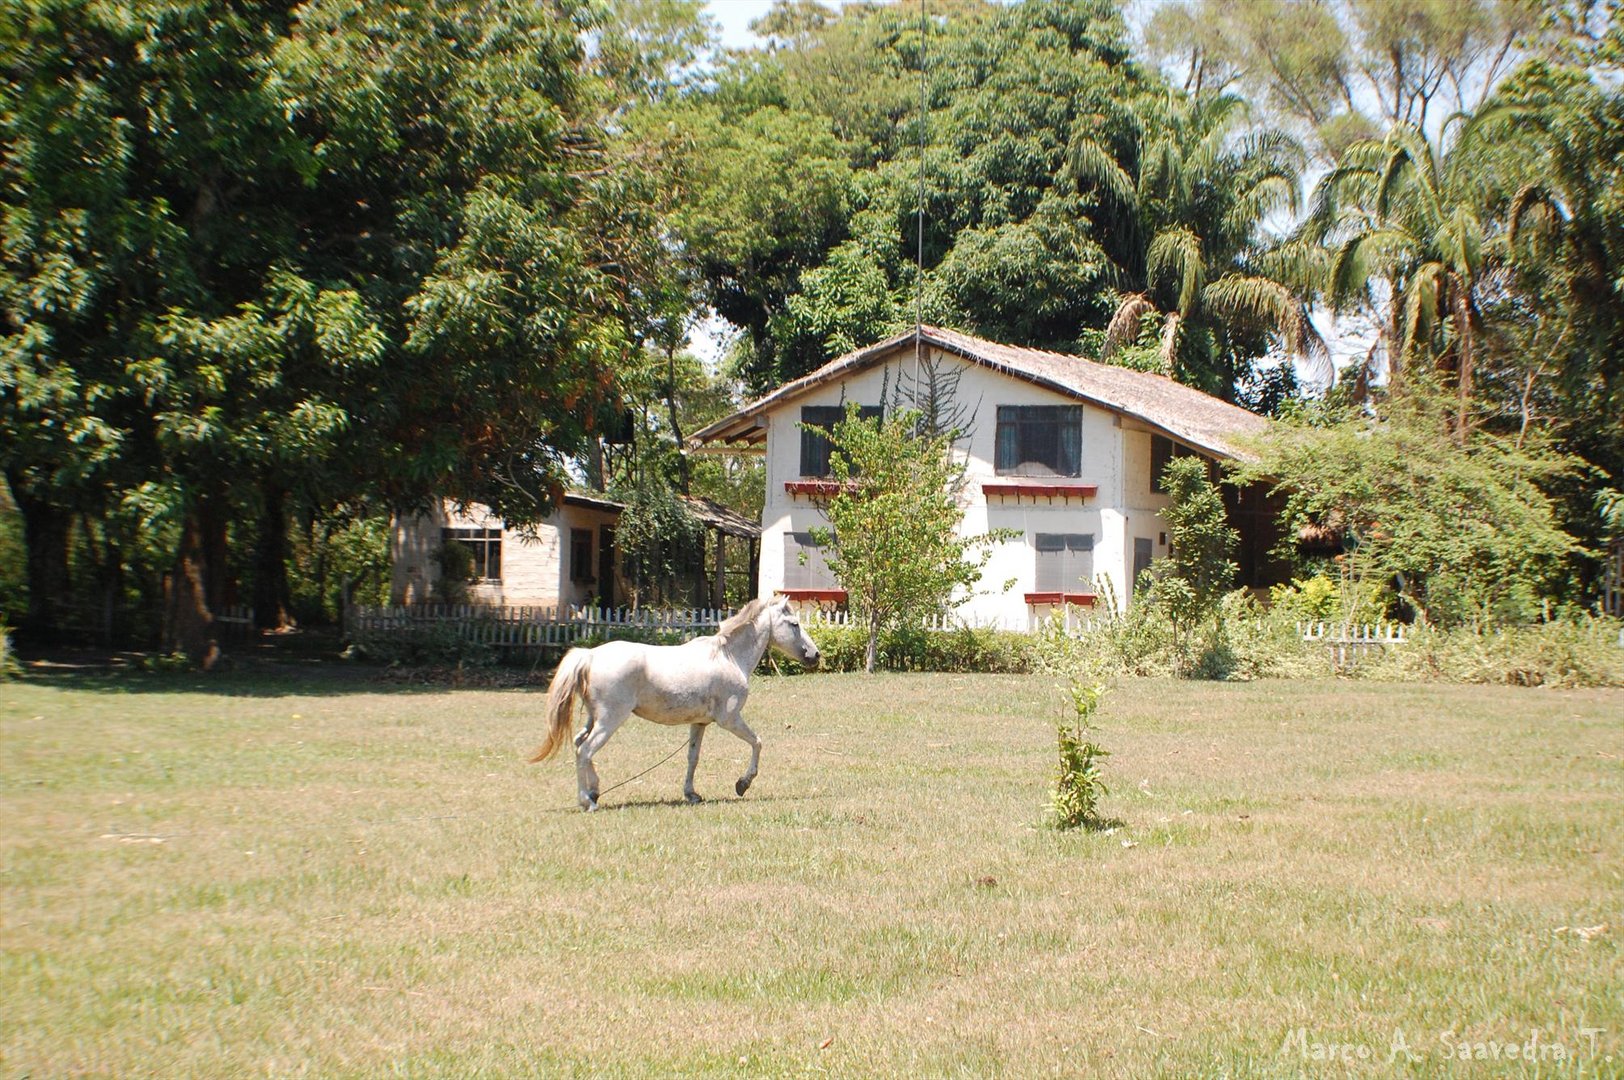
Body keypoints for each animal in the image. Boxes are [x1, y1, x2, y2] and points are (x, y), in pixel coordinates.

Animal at [529, 597, 818, 808]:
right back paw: (587, 801)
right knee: (585, 751)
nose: (815, 655)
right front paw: (742, 784)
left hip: (594, 718)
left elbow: (693, 757)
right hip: (609, 720)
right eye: (794, 624)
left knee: (580, 744)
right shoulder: (729, 719)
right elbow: (757, 743)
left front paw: (692, 794)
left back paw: (595, 792)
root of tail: (589, 656)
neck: (729, 657)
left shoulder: (699, 723)